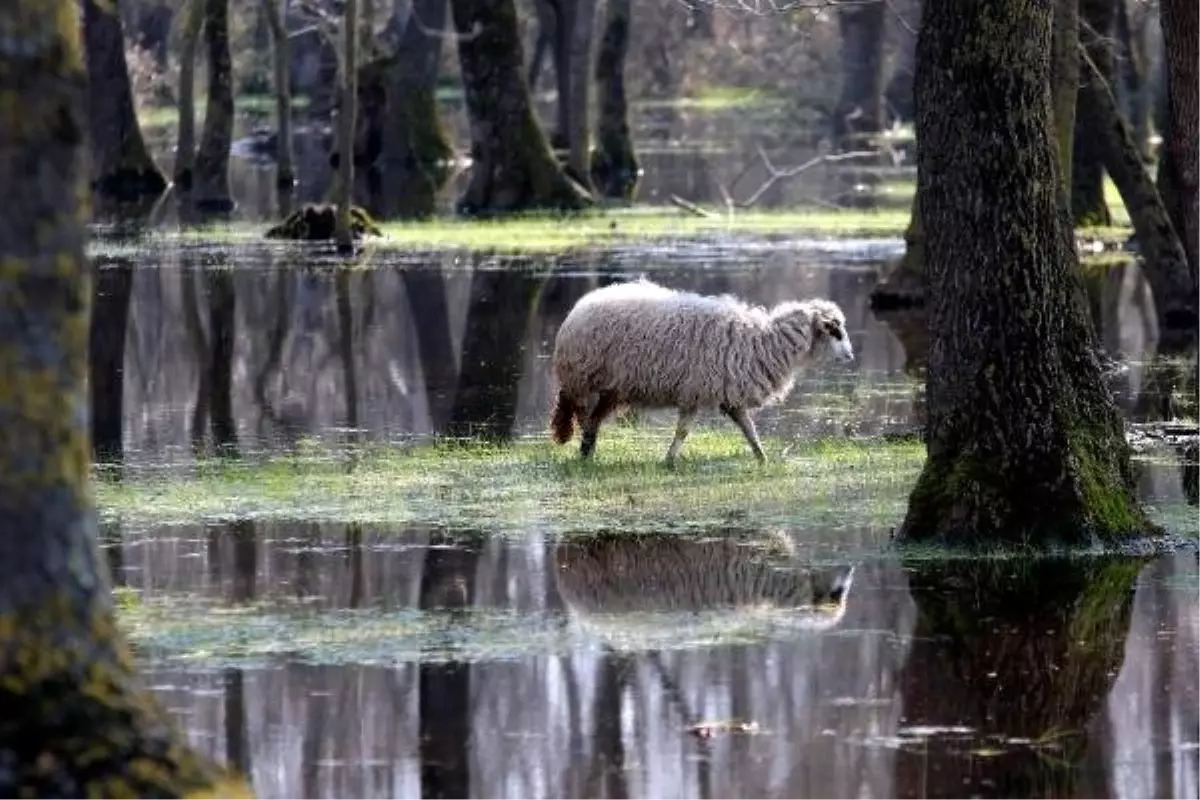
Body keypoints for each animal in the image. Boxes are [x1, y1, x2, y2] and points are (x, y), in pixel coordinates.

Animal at [552, 280, 854, 462]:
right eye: (834, 330)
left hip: (611, 390)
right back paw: (585, 454)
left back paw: (588, 454)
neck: (762, 343)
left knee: (593, 420)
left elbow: (749, 429)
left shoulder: (730, 395)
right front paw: (669, 461)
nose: (851, 356)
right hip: (582, 379)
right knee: (584, 417)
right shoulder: (695, 391)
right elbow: (683, 432)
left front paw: (763, 459)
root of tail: (581, 306)